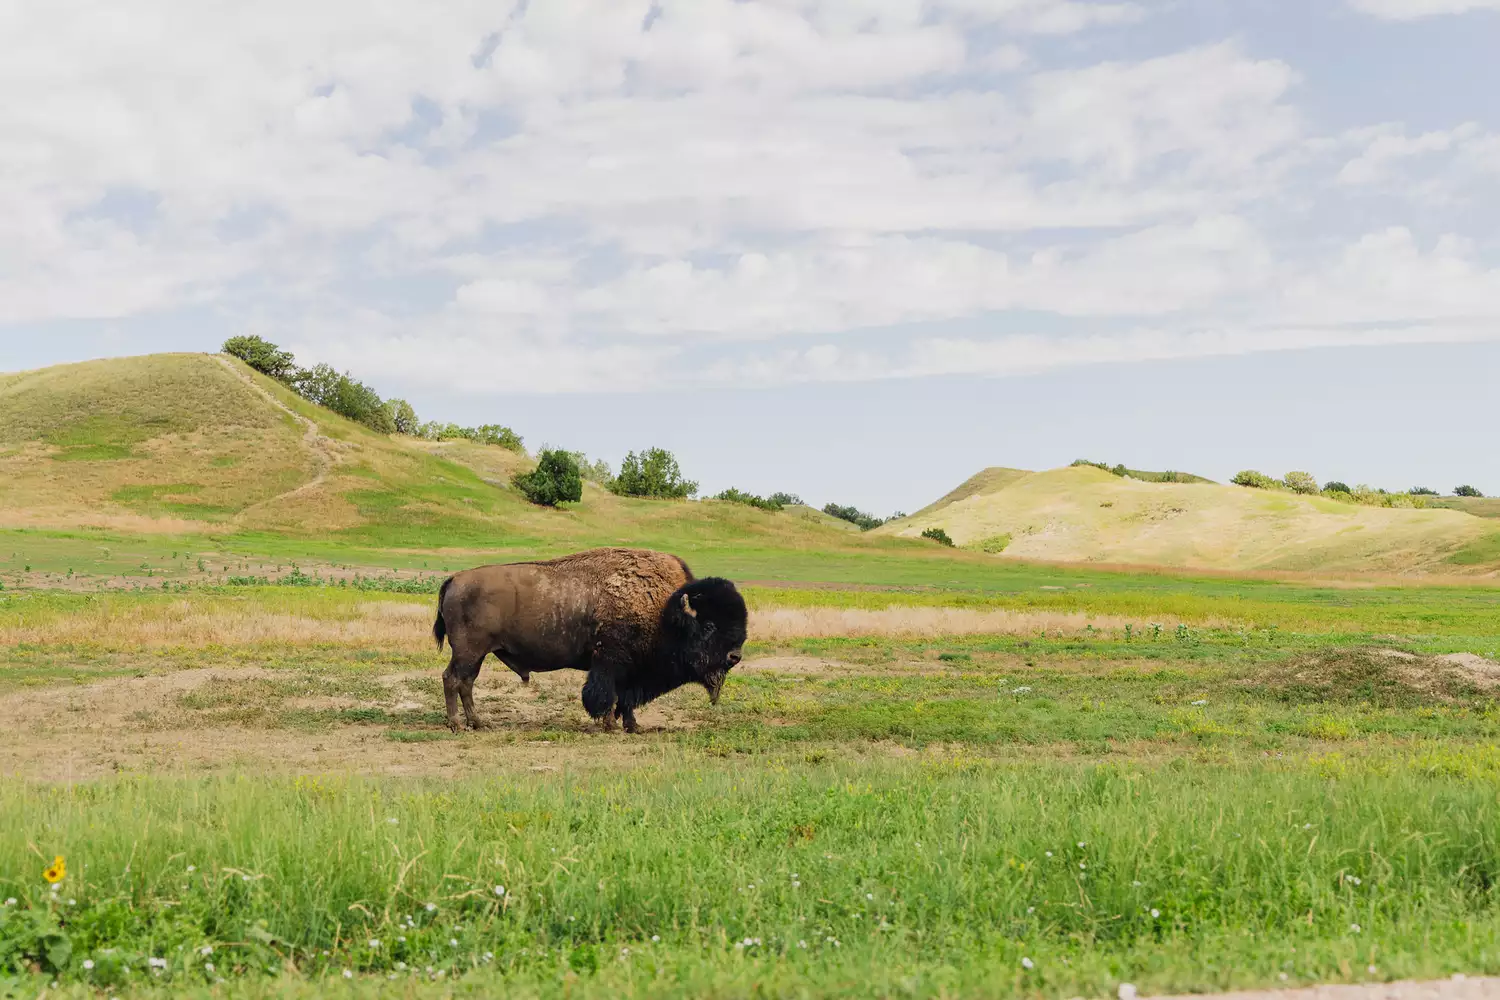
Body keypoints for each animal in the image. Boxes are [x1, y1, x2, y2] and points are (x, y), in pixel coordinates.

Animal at [431, 547, 748, 733]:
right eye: (709, 625)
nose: (735, 656)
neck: (665, 610)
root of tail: (455, 579)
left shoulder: (631, 670)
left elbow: (626, 700)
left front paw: (633, 726)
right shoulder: (611, 662)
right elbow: (610, 695)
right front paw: (611, 725)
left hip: (476, 655)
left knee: (465, 683)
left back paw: (477, 723)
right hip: (468, 652)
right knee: (452, 679)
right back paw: (458, 725)